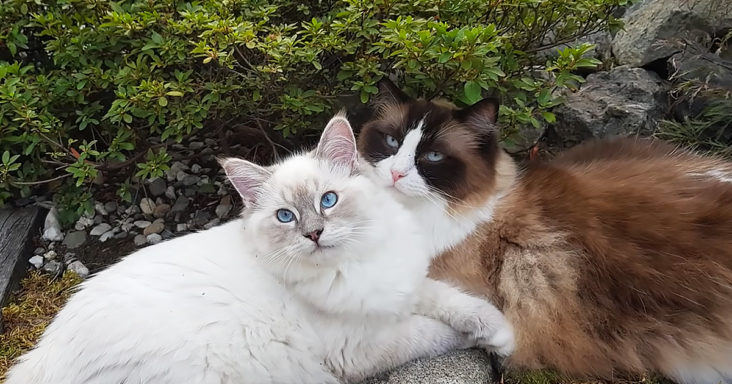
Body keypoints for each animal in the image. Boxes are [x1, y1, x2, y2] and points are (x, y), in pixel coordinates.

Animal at [5, 115, 512, 384]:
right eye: (286, 217)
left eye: (328, 201)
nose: (314, 234)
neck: (354, 265)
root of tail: (40, 359)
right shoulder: (360, 348)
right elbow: (434, 333)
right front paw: (496, 343)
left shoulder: (401, 285)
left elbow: (454, 302)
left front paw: (499, 331)